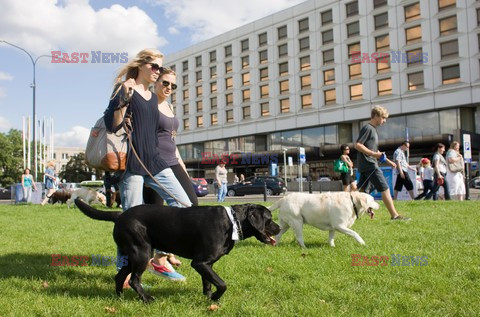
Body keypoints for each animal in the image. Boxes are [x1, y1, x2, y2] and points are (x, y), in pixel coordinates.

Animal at [73, 200, 280, 302]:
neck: (232, 222)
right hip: (142, 254)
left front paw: (208, 299)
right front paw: (215, 298)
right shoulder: (200, 262)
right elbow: (222, 284)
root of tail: (120, 215)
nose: (279, 229)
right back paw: (147, 299)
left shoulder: (207, 264)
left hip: (133, 256)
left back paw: (120, 298)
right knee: (133, 280)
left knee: (120, 277)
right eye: (269, 219)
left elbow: (208, 283)